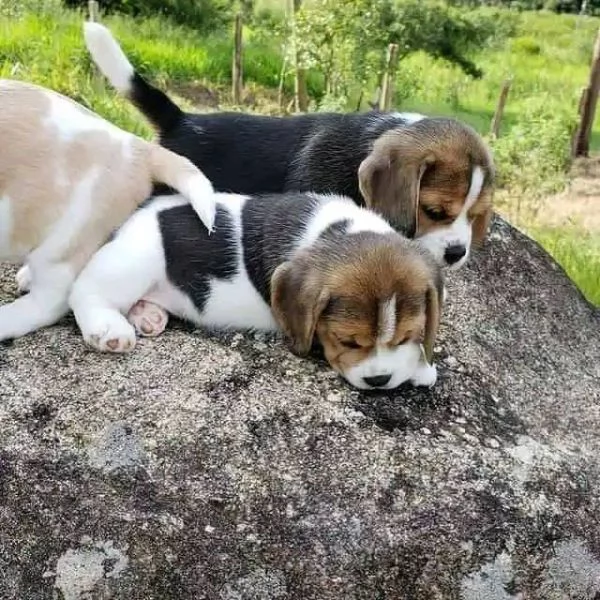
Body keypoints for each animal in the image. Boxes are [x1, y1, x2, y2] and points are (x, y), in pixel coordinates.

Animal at [69, 190, 446, 392]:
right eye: (348, 341)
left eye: (406, 336)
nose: (380, 380)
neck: (339, 232)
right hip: (135, 260)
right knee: (85, 291)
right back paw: (109, 329)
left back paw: (148, 315)